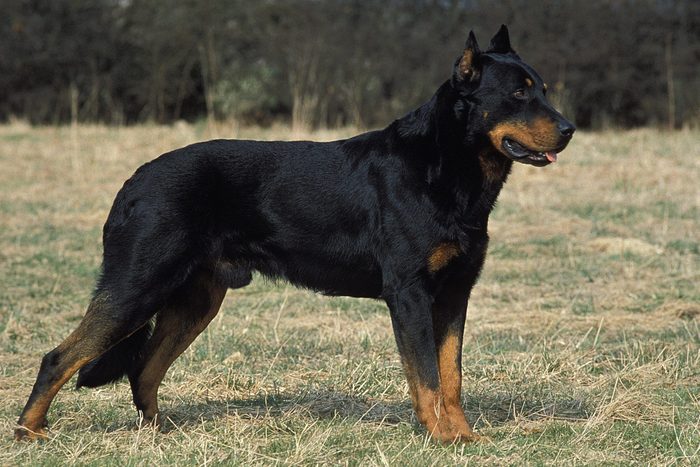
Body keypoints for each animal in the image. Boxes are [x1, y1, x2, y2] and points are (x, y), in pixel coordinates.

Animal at [15, 26, 576, 446]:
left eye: (544, 90)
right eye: (519, 93)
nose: (569, 129)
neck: (448, 166)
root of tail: (132, 183)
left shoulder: (455, 293)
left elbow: (451, 375)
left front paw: (463, 437)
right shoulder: (410, 293)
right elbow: (427, 377)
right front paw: (439, 437)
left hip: (195, 300)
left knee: (145, 369)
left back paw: (159, 435)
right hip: (138, 286)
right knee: (61, 357)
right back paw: (30, 432)